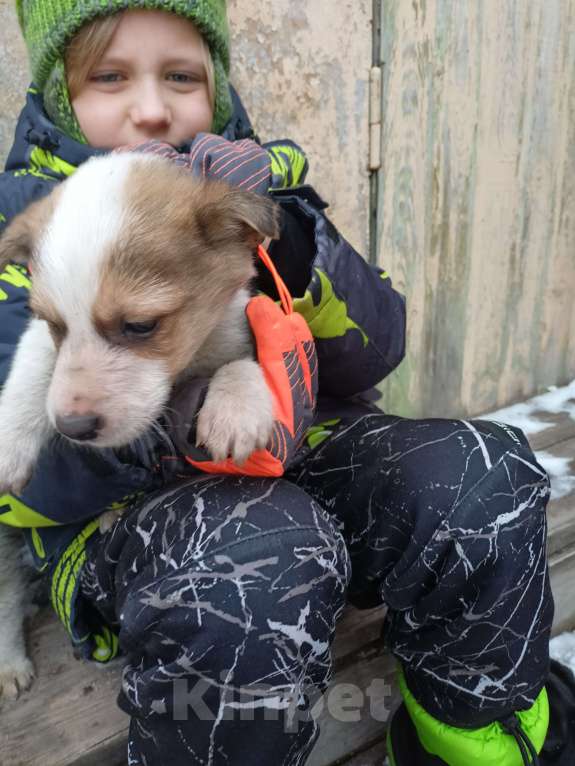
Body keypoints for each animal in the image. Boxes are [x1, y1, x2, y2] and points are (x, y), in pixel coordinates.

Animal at [0, 154, 282, 704]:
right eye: (55, 325)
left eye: (140, 326)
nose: (73, 426)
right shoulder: (41, 344)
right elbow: (31, 369)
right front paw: (8, 441)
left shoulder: (236, 327)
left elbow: (244, 361)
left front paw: (236, 407)